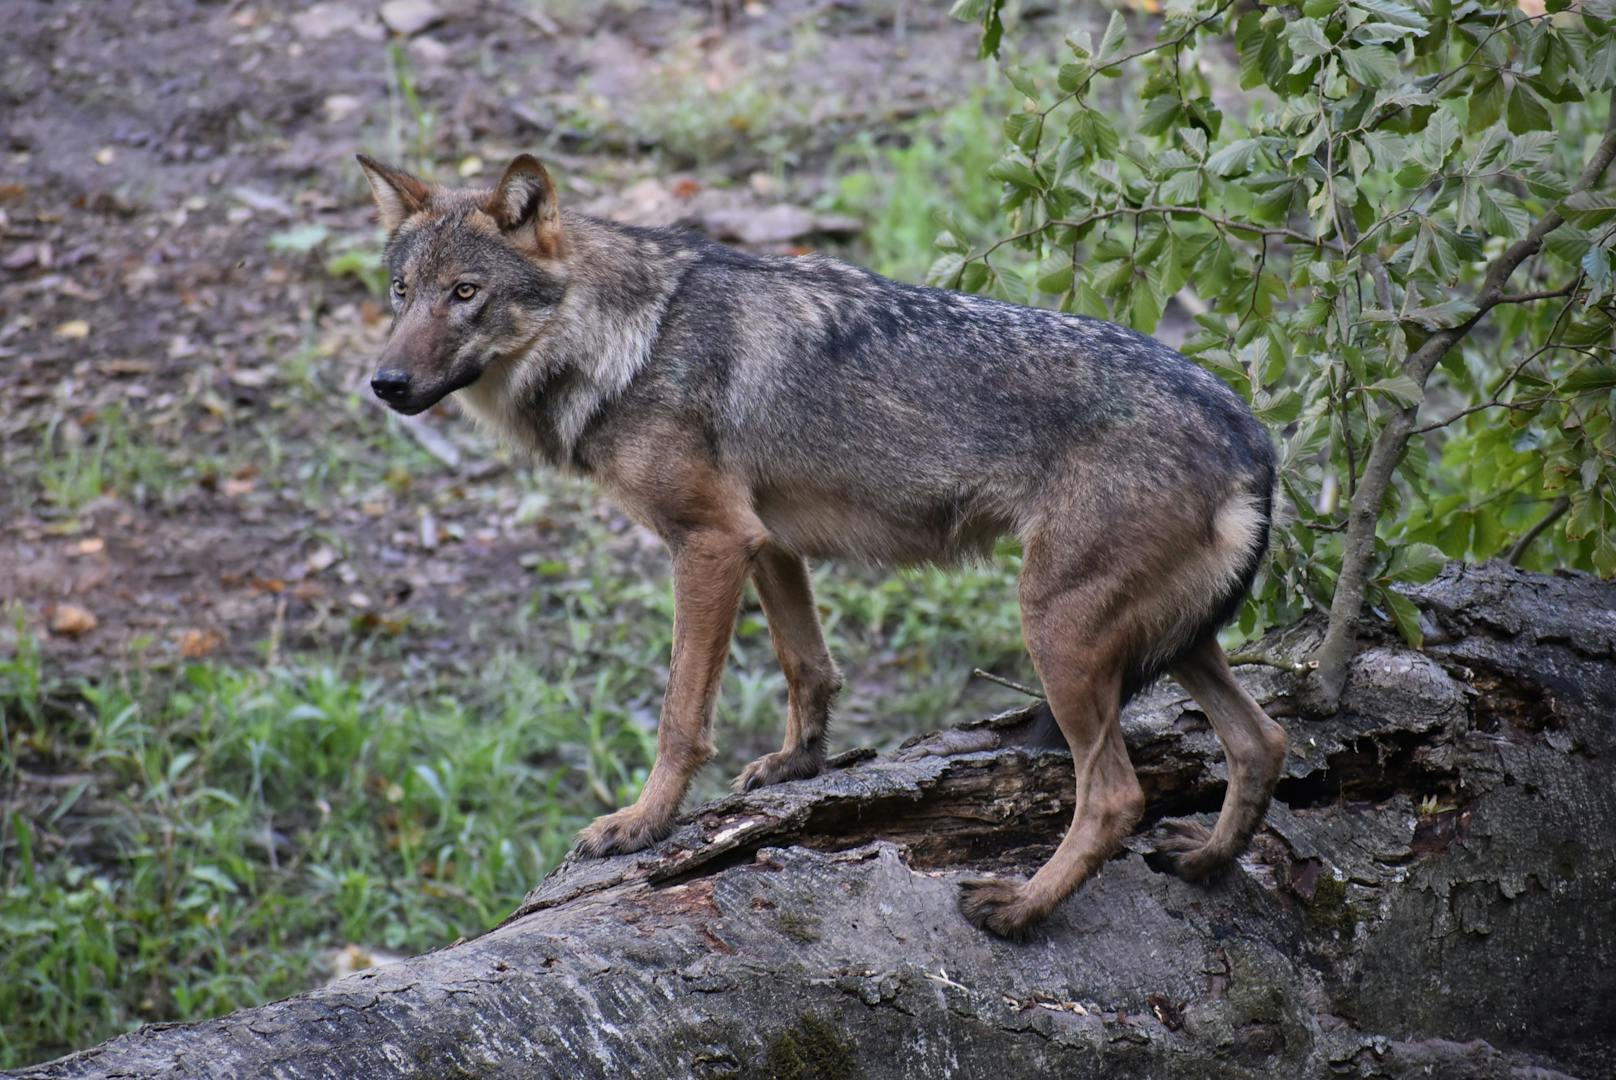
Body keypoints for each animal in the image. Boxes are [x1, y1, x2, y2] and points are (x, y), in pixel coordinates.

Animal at [357, 149, 1286, 937]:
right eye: (402, 291)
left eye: (466, 293)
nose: (385, 383)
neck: (628, 340)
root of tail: (1251, 432)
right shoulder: (765, 540)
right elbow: (809, 667)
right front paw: (798, 766)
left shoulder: (709, 542)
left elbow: (680, 718)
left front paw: (642, 824)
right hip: (1172, 641)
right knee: (1262, 741)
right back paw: (1206, 861)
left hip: (1056, 631)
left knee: (1117, 797)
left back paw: (1019, 909)